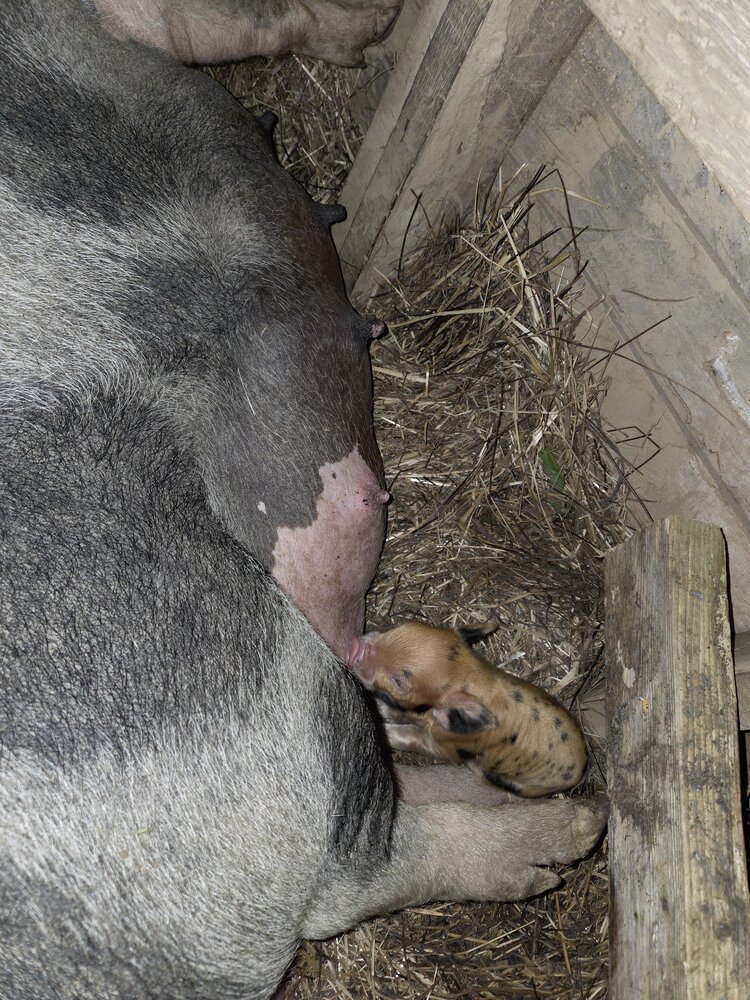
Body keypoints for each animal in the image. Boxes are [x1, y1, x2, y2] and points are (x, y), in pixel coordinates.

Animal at [348, 621, 588, 797]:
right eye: (397, 628)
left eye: (398, 682)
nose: (355, 647)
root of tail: (581, 770)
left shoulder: (447, 746)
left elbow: (410, 736)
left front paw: (382, 732)